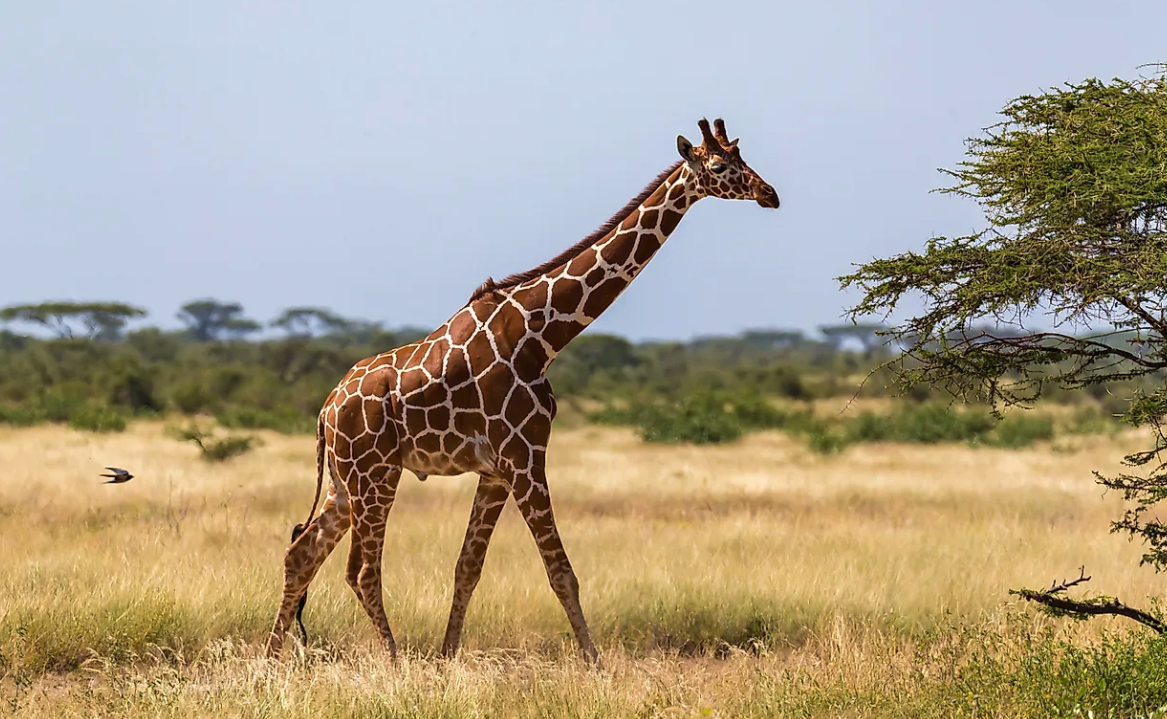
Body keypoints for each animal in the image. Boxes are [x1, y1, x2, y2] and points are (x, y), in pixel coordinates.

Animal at [267, 116, 784, 662]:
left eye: (742, 156)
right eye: (719, 166)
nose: (769, 194)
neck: (542, 334)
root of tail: (326, 409)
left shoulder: (496, 470)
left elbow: (467, 568)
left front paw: (448, 658)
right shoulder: (525, 456)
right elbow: (561, 572)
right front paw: (595, 664)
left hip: (345, 482)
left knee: (301, 553)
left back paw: (271, 660)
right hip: (376, 475)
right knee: (361, 570)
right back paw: (393, 660)